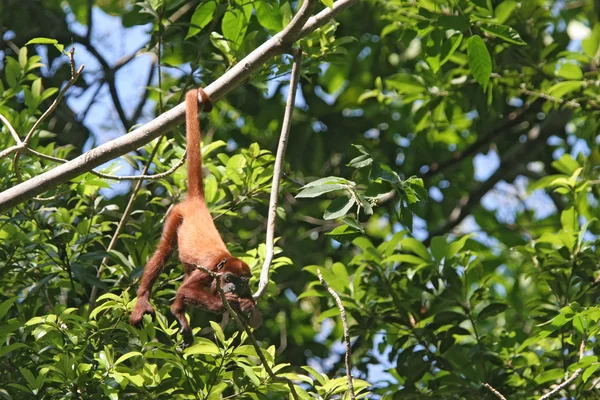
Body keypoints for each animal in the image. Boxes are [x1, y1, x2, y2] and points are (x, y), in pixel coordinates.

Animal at [129, 88, 255, 344]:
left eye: (241, 282)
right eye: (228, 279)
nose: (232, 290)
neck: (224, 261)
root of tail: (198, 202)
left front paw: (247, 305)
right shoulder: (209, 268)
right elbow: (187, 289)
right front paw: (228, 304)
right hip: (177, 213)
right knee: (164, 252)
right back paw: (149, 302)